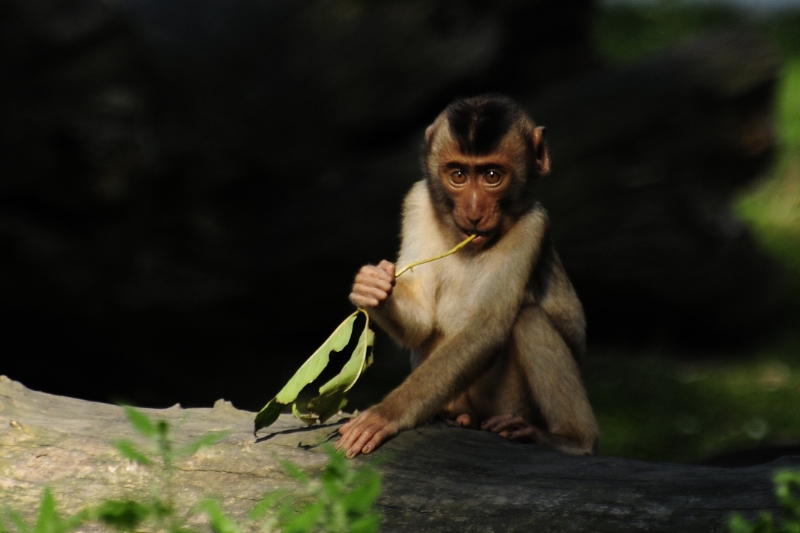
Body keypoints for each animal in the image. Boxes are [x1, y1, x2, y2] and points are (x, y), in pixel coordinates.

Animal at [340, 94, 600, 458]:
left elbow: (486, 328)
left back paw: (570, 438)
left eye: (492, 176)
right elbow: (422, 319)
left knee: (527, 318)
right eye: (458, 175)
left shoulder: (534, 226)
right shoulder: (418, 200)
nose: (474, 213)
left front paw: (386, 414)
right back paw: (456, 415)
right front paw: (373, 287)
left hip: (512, 405)